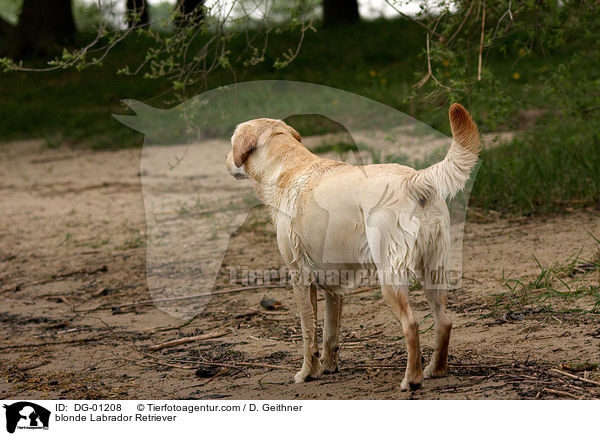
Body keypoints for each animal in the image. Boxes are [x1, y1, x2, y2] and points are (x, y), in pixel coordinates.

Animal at [226, 104, 482, 390]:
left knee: (412, 324)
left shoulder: (300, 278)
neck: (287, 165)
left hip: (390, 281)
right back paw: (435, 370)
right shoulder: (332, 287)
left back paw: (411, 379)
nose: (226, 159)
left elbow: (308, 334)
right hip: (433, 273)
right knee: (445, 322)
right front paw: (328, 367)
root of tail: (414, 179)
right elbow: (329, 334)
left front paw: (307, 373)